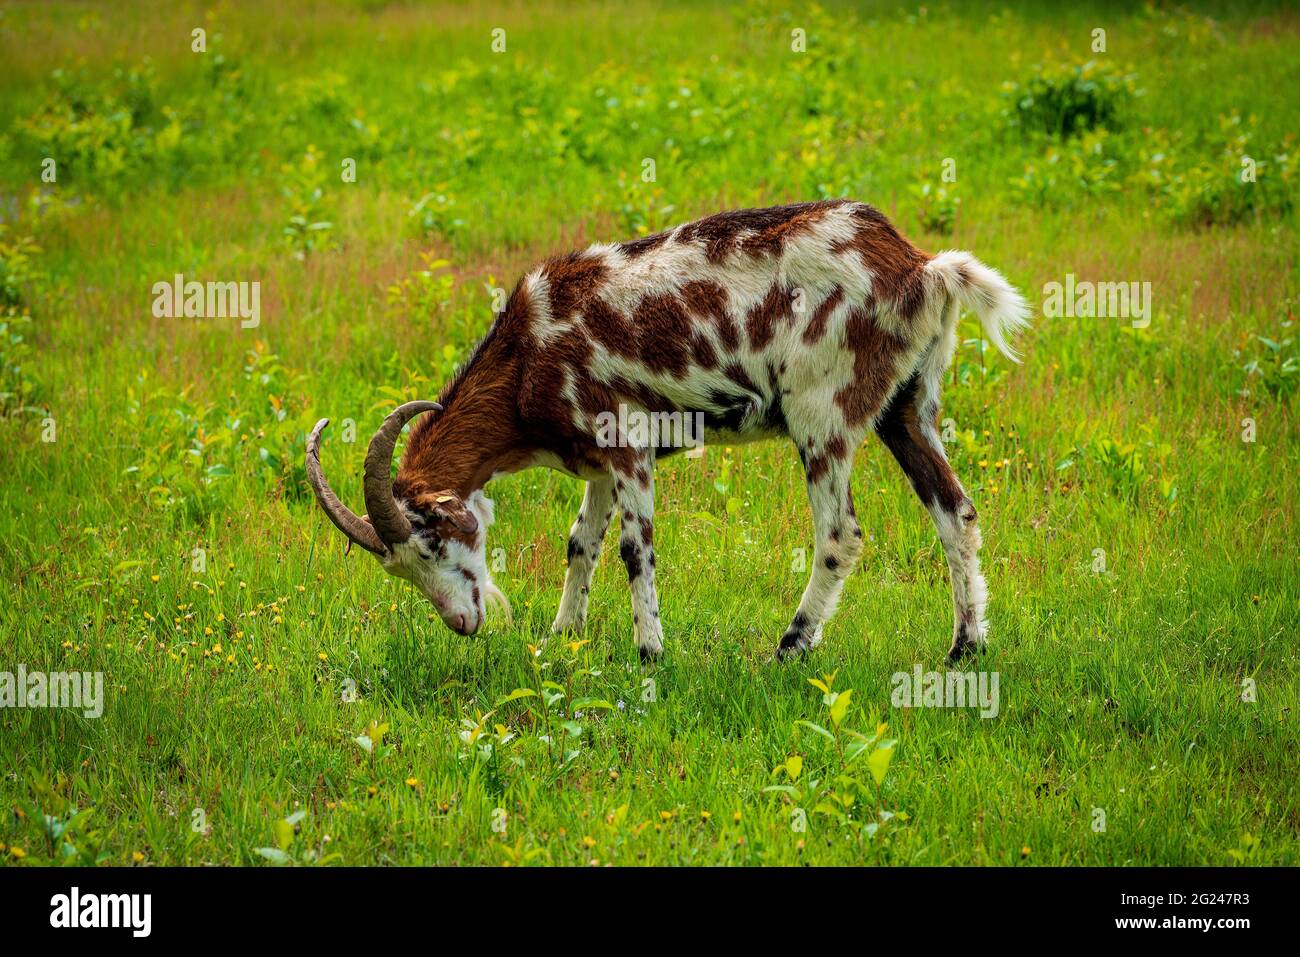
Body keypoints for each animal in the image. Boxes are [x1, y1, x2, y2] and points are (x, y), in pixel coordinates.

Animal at [304, 197, 1024, 660]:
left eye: (430, 545)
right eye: (400, 571)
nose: (461, 623)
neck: (529, 353)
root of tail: (921, 267)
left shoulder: (628, 444)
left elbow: (633, 549)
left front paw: (650, 651)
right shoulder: (596, 461)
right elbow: (579, 543)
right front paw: (563, 636)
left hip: (822, 413)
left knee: (840, 535)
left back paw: (790, 646)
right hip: (907, 407)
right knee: (955, 510)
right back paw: (965, 646)